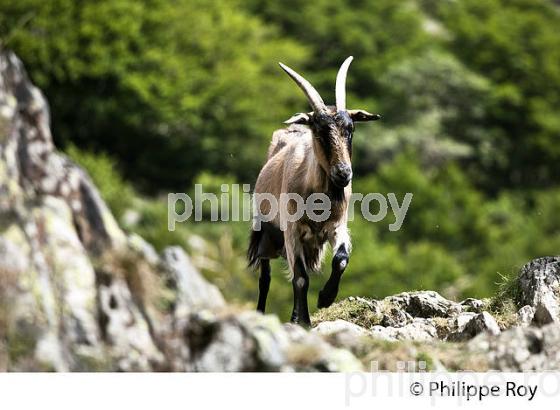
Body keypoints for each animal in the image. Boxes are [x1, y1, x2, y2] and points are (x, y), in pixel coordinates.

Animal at [246, 56, 380, 326]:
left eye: (350, 128)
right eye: (319, 130)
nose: (343, 173)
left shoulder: (336, 227)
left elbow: (341, 260)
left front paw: (325, 298)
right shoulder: (292, 232)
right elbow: (300, 278)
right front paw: (306, 322)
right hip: (266, 233)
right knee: (266, 278)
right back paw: (263, 314)